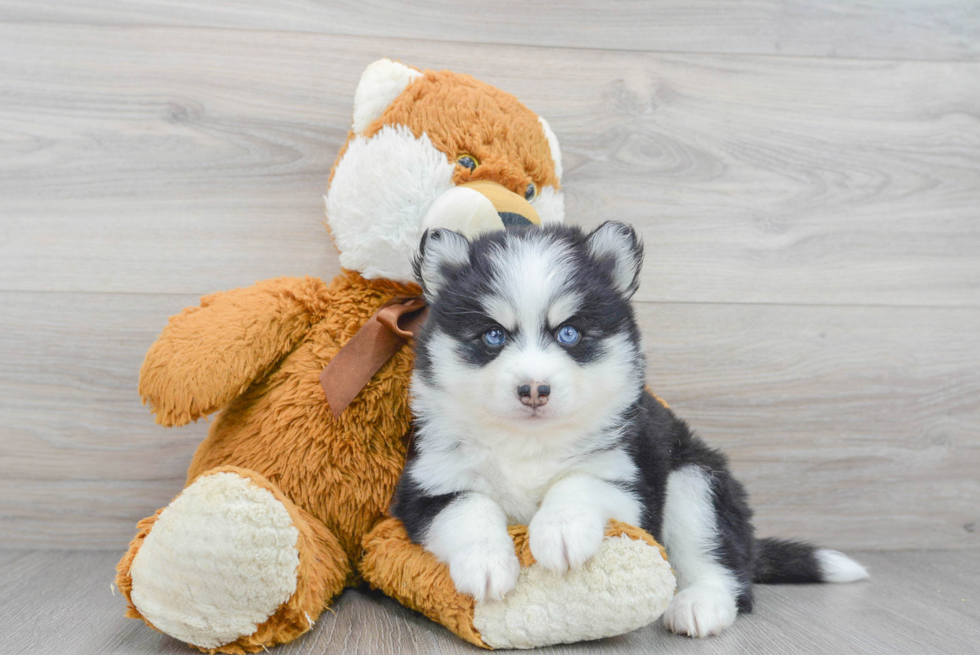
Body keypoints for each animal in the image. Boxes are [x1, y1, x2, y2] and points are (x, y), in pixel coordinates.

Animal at [390, 224, 864, 636]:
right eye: (492, 336)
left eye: (569, 333)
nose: (534, 390)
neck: (530, 442)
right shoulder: (428, 485)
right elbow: (470, 507)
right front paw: (486, 563)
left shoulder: (629, 480)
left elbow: (577, 483)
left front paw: (560, 531)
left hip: (695, 480)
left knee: (719, 565)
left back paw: (699, 605)